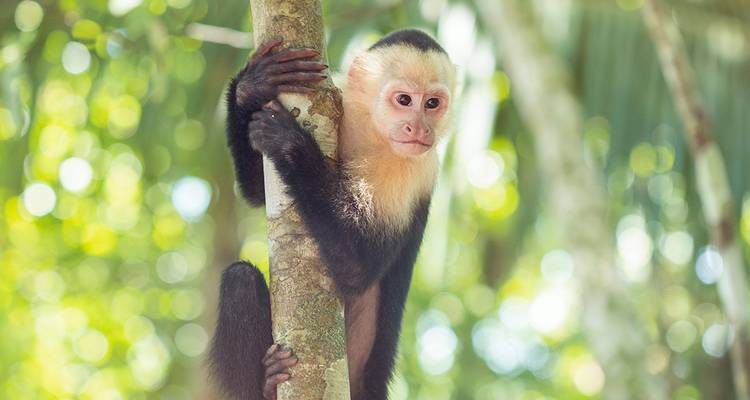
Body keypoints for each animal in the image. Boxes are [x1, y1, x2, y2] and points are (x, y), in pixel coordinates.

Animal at [210, 29, 456, 400]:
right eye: (404, 100)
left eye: (432, 104)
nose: (419, 129)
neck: (370, 134)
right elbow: (256, 190)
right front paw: (252, 84)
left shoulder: (412, 171)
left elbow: (358, 266)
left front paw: (289, 142)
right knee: (240, 280)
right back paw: (266, 382)